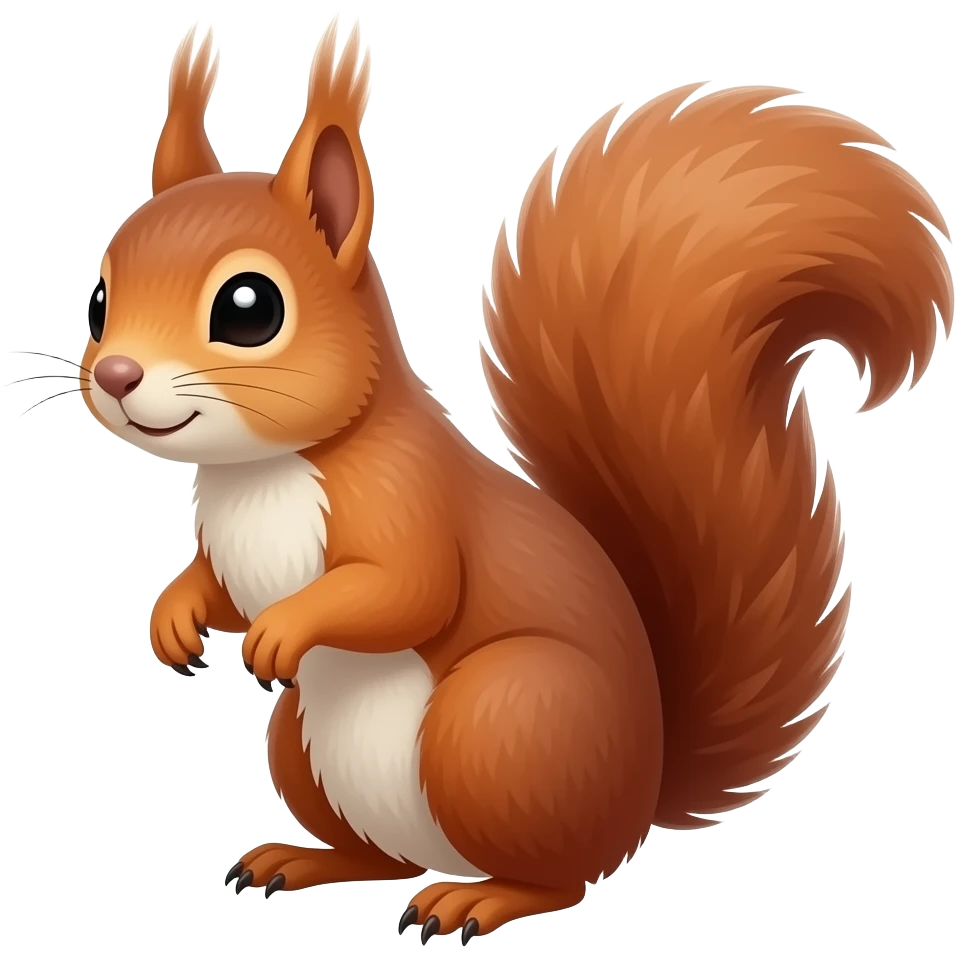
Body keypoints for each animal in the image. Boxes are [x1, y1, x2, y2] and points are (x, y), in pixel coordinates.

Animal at [79, 15, 952, 945]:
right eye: (98, 301)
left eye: (250, 308)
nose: (117, 375)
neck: (259, 475)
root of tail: (640, 795)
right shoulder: (230, 546)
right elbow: (216, 587)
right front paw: (173, 618)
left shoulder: (408, 500)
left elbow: (408, 590)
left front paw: (283, 630)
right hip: (305, 743)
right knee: (381, 858)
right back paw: (306, 859)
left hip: (502, 722)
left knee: (559, 877)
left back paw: (478, 899)